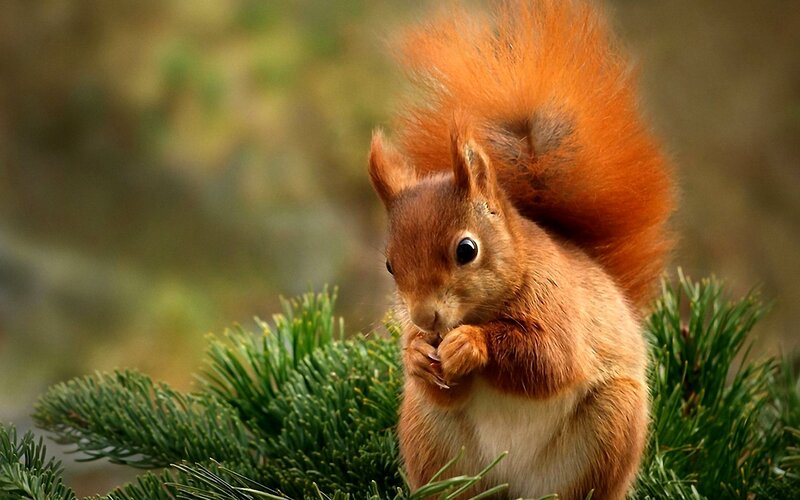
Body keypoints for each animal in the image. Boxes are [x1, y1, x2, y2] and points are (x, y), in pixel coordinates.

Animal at [368, 1, 674, 499]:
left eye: (467, 249)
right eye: (391, 265)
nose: (424, 319)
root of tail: (510, 484)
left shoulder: (558, 303)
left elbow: (549, 359)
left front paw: (470, 344)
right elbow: (439, 383)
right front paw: (414, 354)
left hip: (610, 427)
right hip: (430, 437)